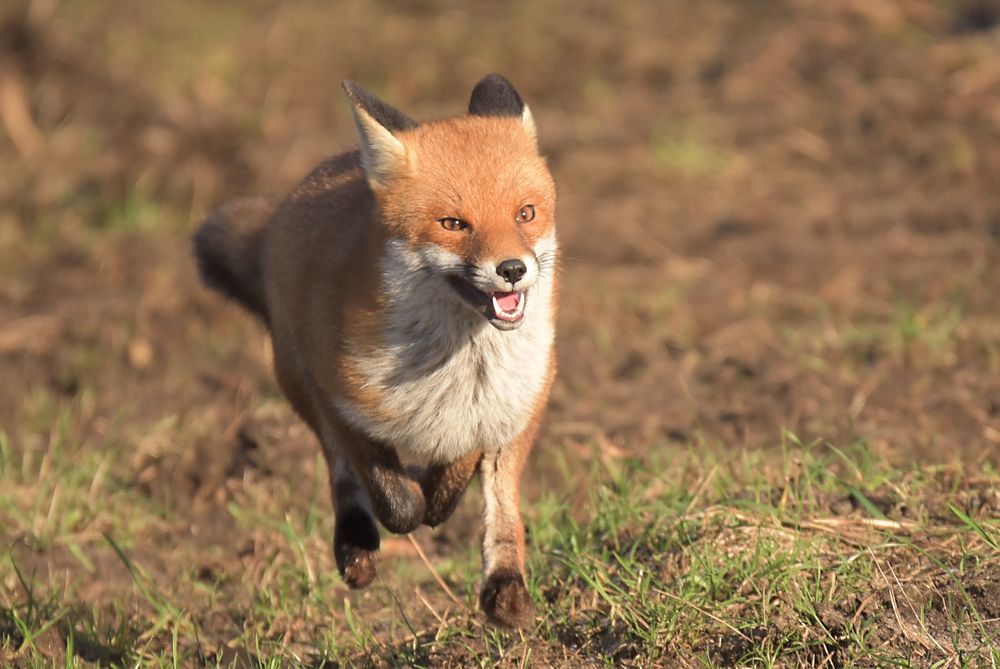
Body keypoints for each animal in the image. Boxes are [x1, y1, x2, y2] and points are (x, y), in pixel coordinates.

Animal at [191, 75, 560, 628]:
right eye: (453, 224)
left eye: (526, 213)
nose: (513, 269)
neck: (458, 371)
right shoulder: (339, 399)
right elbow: (392, 496)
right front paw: (411, 506)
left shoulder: (511, 410)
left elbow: (494, 498)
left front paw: (501, 581)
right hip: (296, 380)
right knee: (341, 474)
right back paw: (356, 545)